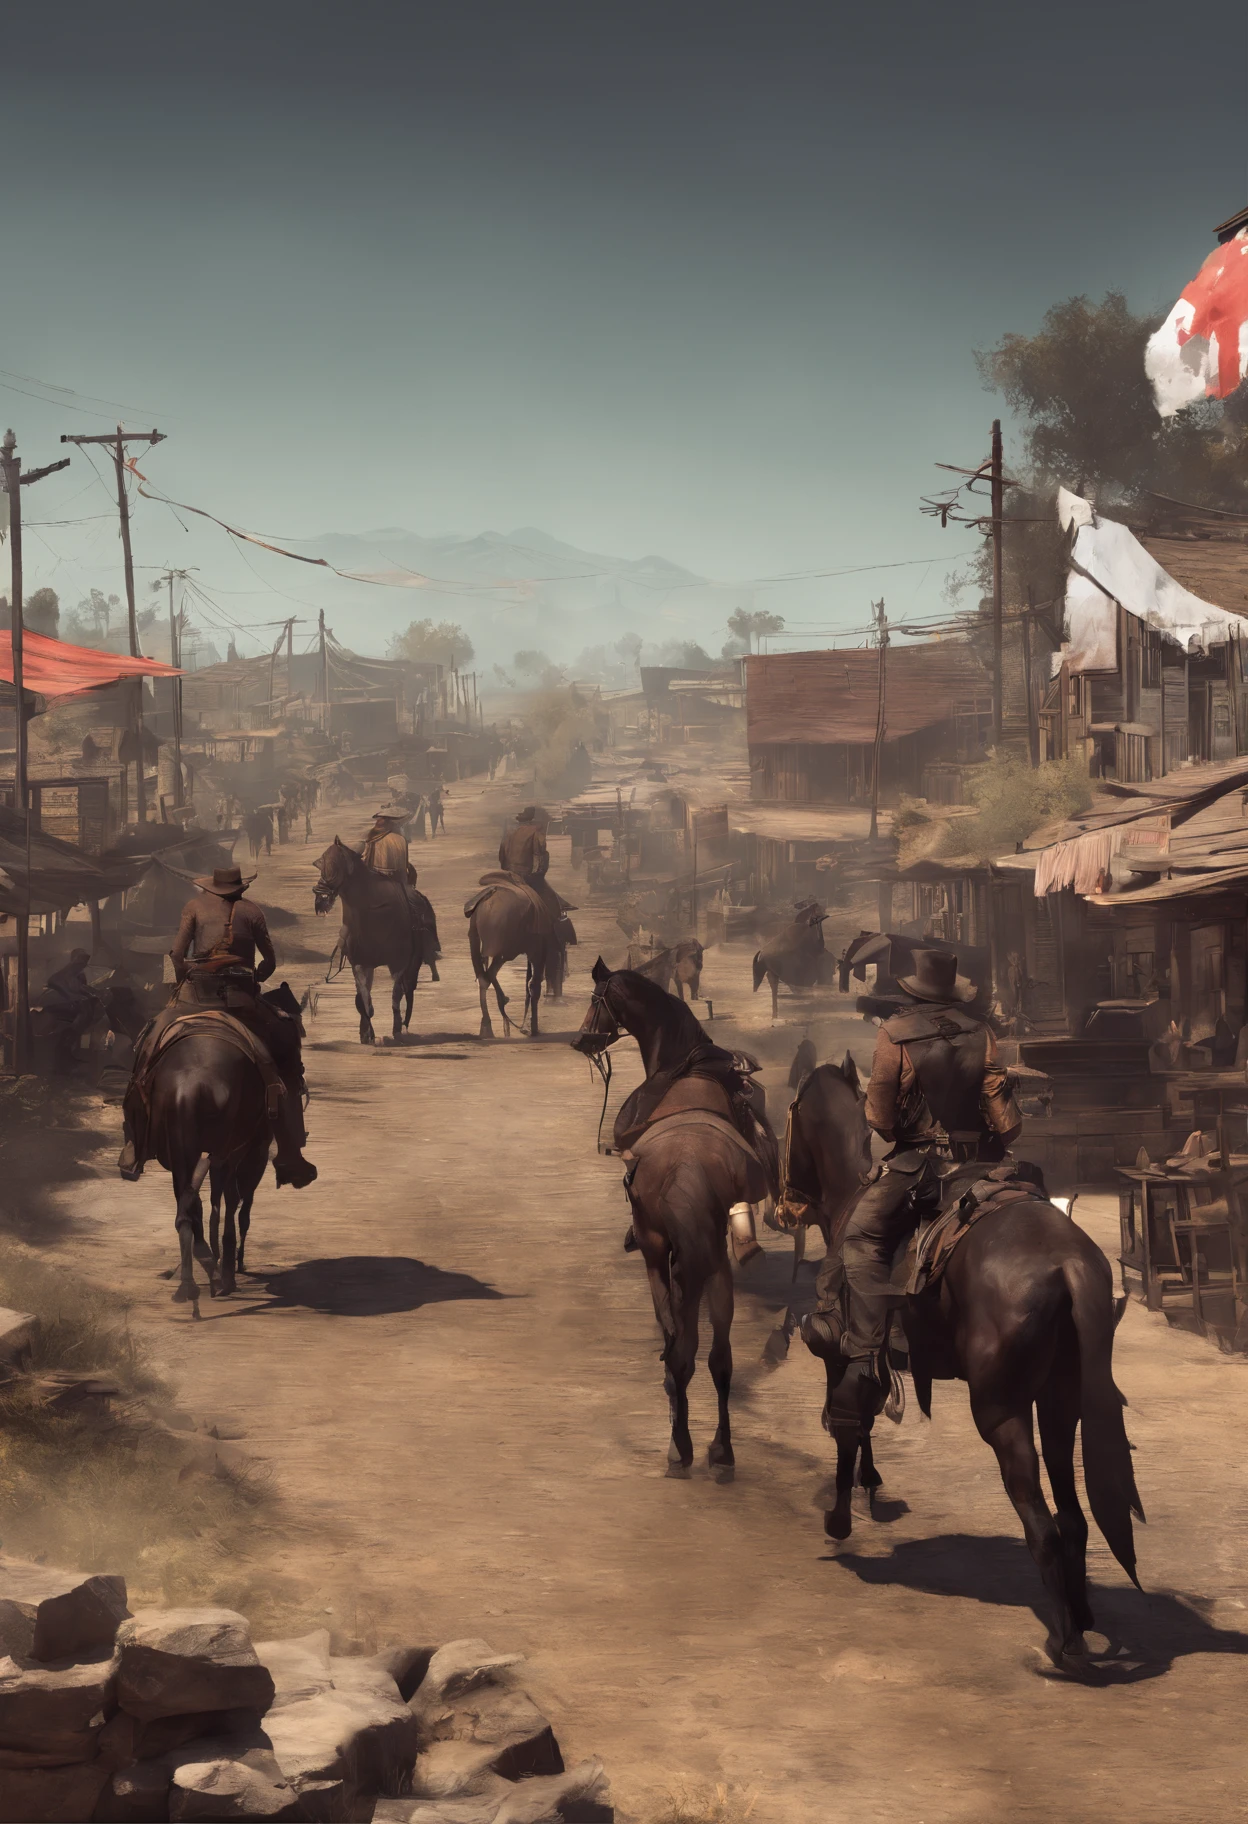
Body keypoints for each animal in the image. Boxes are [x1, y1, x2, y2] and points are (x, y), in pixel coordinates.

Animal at [313, 835, 441, 1043]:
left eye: (336, 864)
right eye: (321, 863)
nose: (320, 896)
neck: (374, 912)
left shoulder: (399, 963)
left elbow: (396, 995)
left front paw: (396, 1029)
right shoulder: (361, 963)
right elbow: (364, 1000)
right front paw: (366, 1034)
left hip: (414, 961)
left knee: (408, 989)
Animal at [467, 882, 554, 1043]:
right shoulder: (538, 950)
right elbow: (535, 985)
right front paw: (533, 1028)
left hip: (475, 938)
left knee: (483, 976)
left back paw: (488, 1025)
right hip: (506, 950)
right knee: (489, 975)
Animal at [576, 963, 780, 1473]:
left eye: (596, 998)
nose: (580, 1039)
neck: (682, 1061)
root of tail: (688, 1166)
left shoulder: (660, 1252)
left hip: (661, 1250)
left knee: (680, 1348)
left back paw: (682, 1445)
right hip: (713, 1266)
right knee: (718, 1358)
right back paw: (720, 1450)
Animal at [784, 1072, 1145, 1670]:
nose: (785, 1205)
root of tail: (1068, 1263)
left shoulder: (845, 1352)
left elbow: (847, 1420)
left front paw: (841, 1517)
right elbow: (864, 1418)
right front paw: (867, 1487)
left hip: (1001, 1414)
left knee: (1041, 1522)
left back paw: (1065, 1644)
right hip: (1059, 1405)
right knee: (1071, 1515)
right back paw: (1082, 1616)